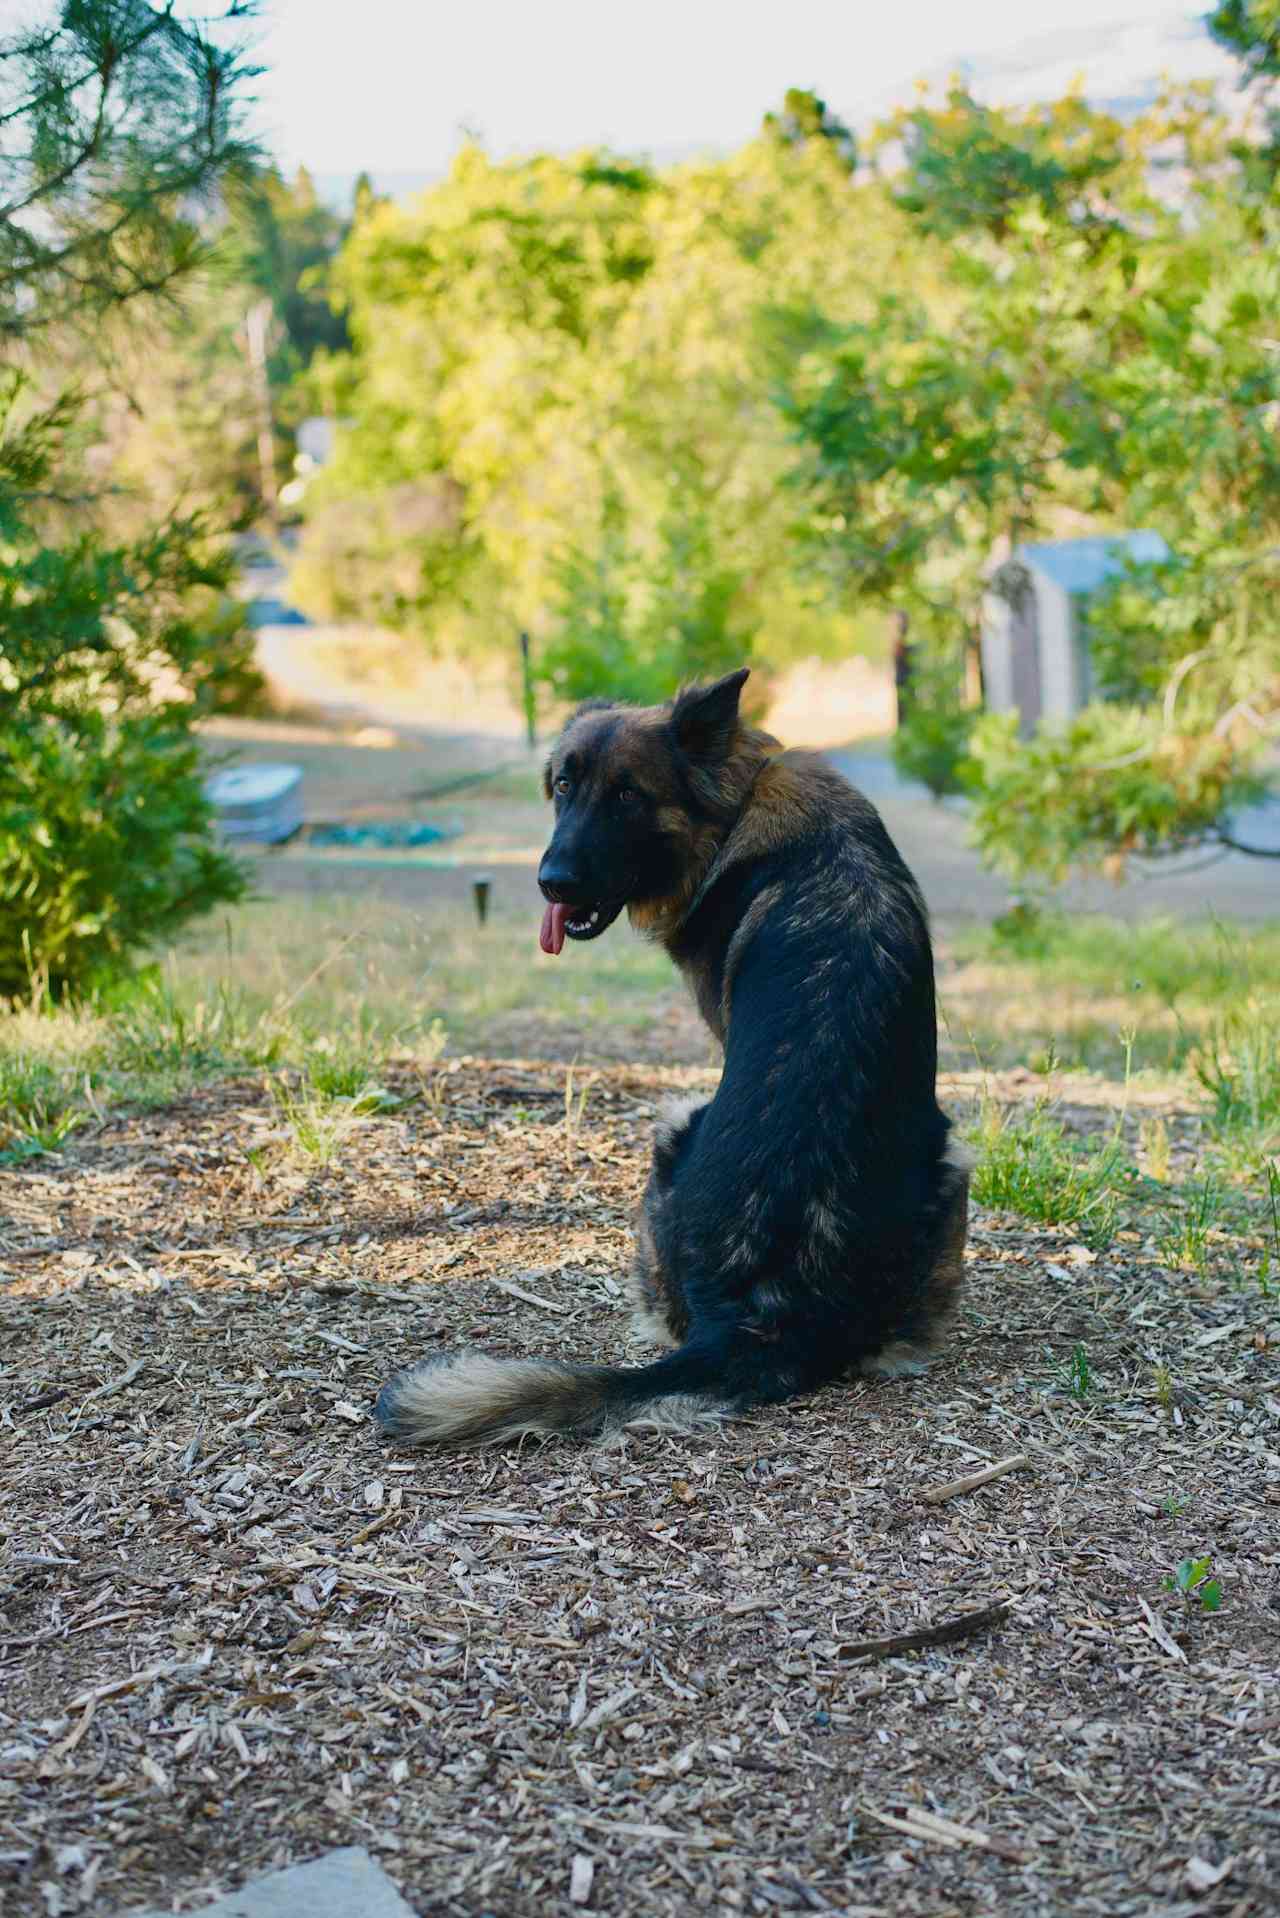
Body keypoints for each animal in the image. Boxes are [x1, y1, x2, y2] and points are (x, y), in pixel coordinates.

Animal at [376, 667, 967, 1442]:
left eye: (629, 795)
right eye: (563, 785)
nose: (551, 882)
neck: (738, 798)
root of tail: (762, 1312)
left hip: (681, 1123)